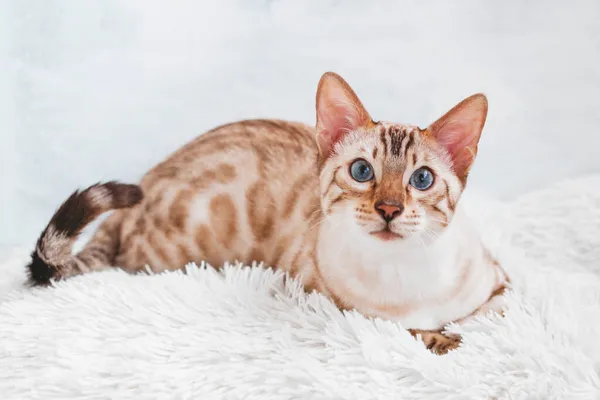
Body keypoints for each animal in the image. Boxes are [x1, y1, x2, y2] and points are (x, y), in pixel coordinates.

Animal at [27, 71, 506, 354]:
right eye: (361, 171)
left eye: (421, 179)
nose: (389, 208)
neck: (403, 275)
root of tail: (147, 181)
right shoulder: (327, 304)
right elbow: (408, 330)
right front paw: (439, 338)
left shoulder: (501, 286)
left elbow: (486, 316)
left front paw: (452, 332)